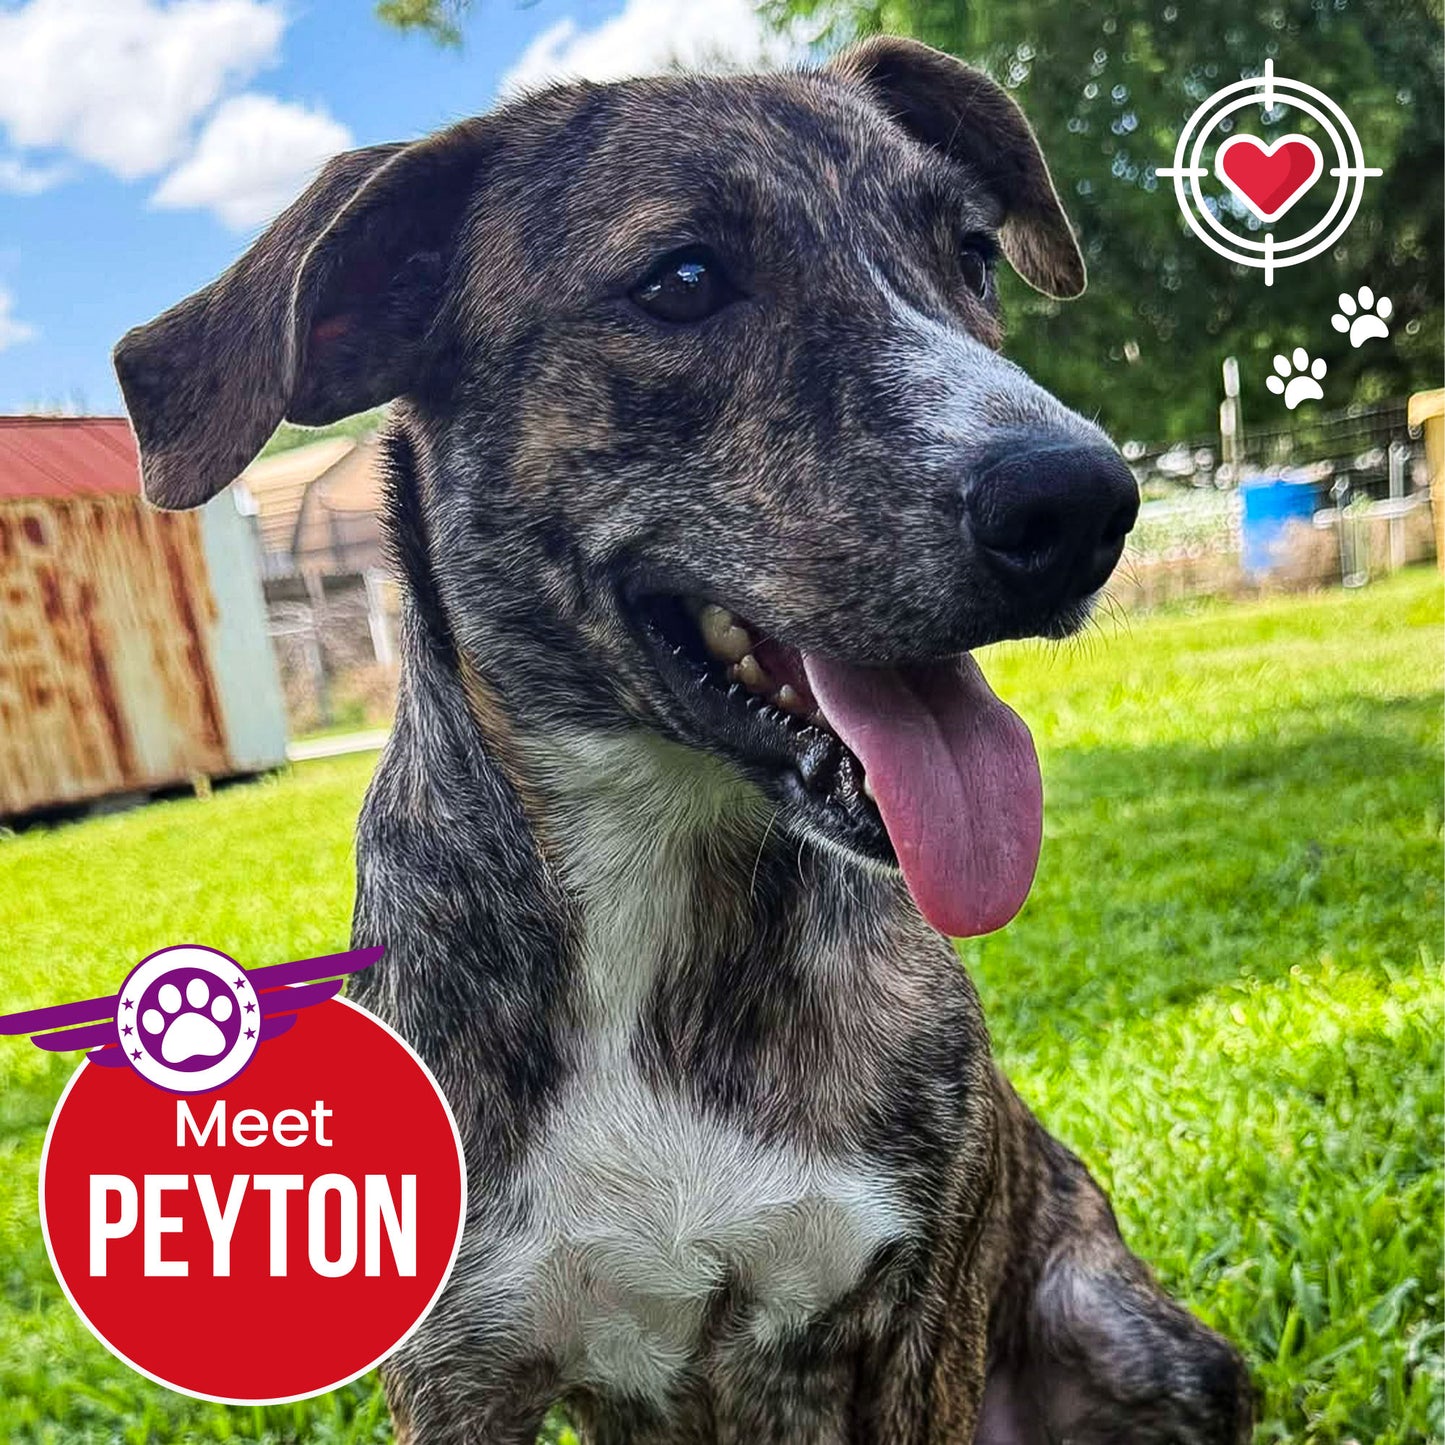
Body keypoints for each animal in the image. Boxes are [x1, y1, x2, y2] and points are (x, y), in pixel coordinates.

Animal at [114, 35, 1253, 1444]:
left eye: (972, 257)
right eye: (683, 281)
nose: (1080, 501)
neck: (657, 890)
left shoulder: (910, 1319)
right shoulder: (459, 1372)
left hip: (1140, 1338)